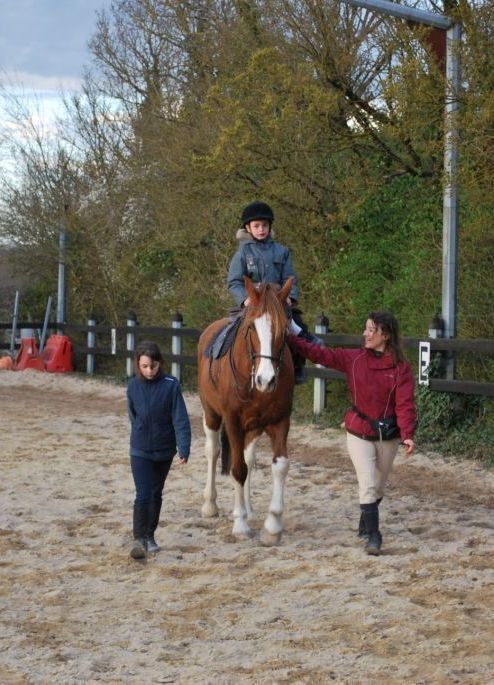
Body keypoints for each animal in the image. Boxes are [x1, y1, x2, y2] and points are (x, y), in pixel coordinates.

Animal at [198, 276, 294, 544]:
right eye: (251, 327)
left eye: (284, 328)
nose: (266, 380)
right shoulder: (232, 421)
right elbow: (237, 469)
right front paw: (240, 524)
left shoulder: (280, 421)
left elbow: (279, 466)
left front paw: (273, 526)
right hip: (211, 414)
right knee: (213, 451)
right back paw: (210, 505)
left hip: (253, 427)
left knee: (249, 457)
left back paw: (249, 509)